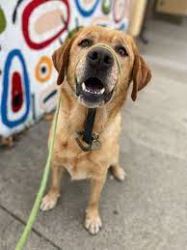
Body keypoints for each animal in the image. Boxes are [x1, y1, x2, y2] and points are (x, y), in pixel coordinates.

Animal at [40, 26, 151, 235]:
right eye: (85, 42)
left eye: (122, 51)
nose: (100, 57)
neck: (86, 128)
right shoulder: (55, 162)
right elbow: (55, 183)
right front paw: (51, 197)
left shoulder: (99, 176)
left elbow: (93, 200)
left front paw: (92, 217)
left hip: (114, 153)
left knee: (115, 162)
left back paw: (118, 171)